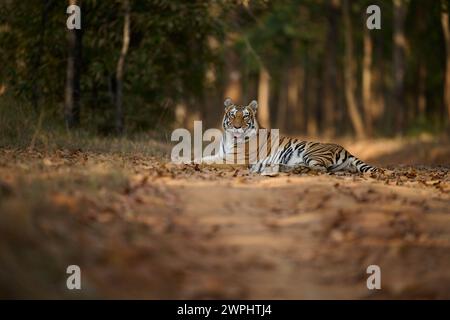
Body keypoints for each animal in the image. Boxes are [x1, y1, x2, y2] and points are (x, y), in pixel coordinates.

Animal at [201, 98, 380, 178]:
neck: (231, 138)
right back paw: (275, 168)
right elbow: (202, 157)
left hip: (312, 153)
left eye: (245, 116)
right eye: (232, 115)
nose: (237, 127)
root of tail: (345, 149)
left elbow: (205, 162)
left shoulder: (233, 159)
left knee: (319, 170)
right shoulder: (221, 155)